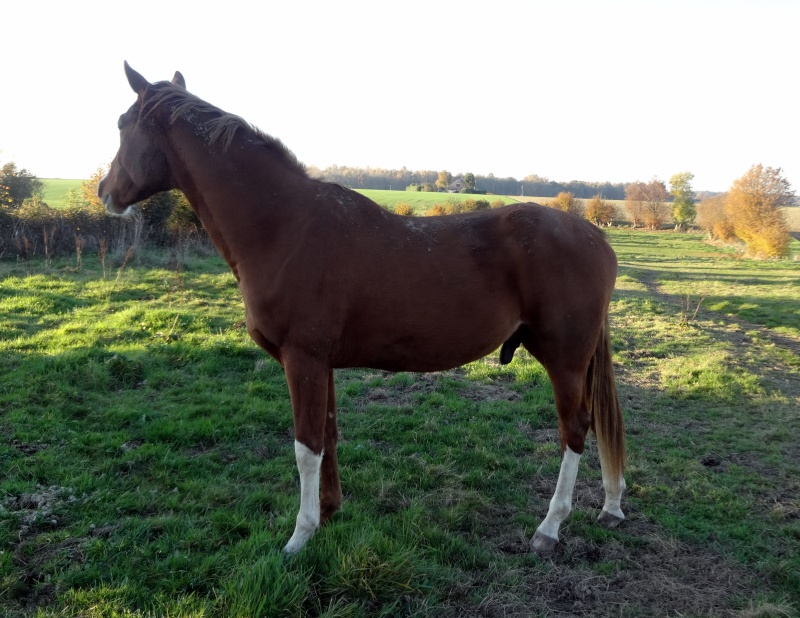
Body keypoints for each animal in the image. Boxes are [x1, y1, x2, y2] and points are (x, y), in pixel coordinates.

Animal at [98, 63, 624, 552]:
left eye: (123, 124)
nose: (105, 192)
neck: (283, 226)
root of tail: (593, 235)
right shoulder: (321, 363)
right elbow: (327, 437)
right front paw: (330, 512)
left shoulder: (302, 359)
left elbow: (305, 447)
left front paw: (300, 536)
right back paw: (611, 505)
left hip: (564, 359)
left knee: (575, 430)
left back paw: (549, 528)